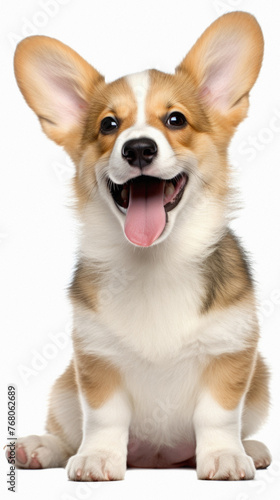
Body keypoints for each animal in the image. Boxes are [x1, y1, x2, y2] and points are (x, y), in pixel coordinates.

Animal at [10, 11, 272, 480]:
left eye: (176, 120)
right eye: (108, 125)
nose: (138, 149)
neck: (155, 262)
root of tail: (156, 459)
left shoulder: (231, 353)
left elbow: (218, 416)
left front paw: (225, 455)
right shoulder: (95, 357)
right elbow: (104, 417)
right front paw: (97, 458)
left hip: (260, 379)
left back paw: (252, 448)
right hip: (64, 387)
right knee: (67, 431)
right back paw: (40, 447)